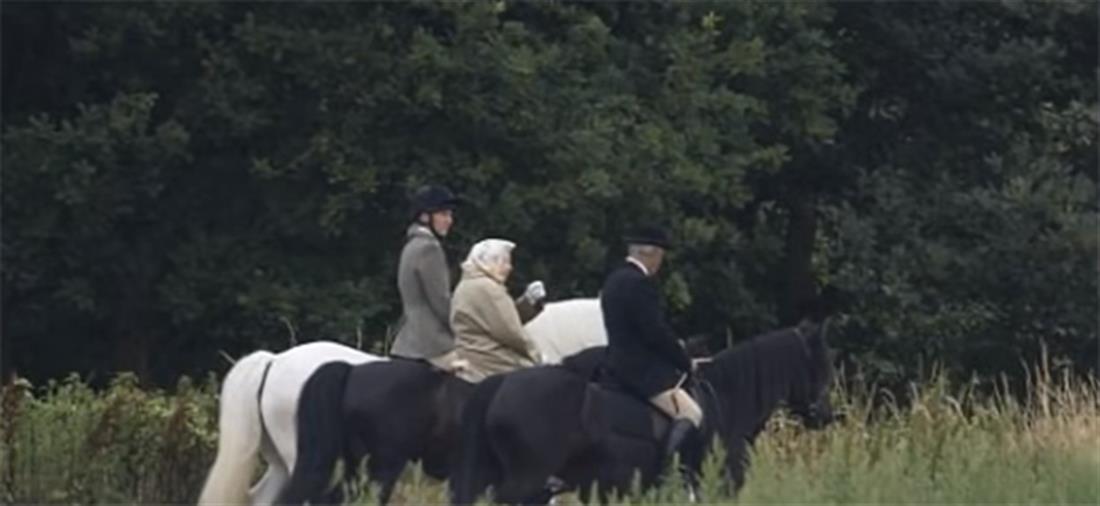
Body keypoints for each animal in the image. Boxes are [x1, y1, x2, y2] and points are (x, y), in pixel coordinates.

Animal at [451, 321, 836, 506]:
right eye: (819, 363)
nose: (826, 415)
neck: (728, 401)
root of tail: (501, 383)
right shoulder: (722, 486)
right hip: (525, 481)